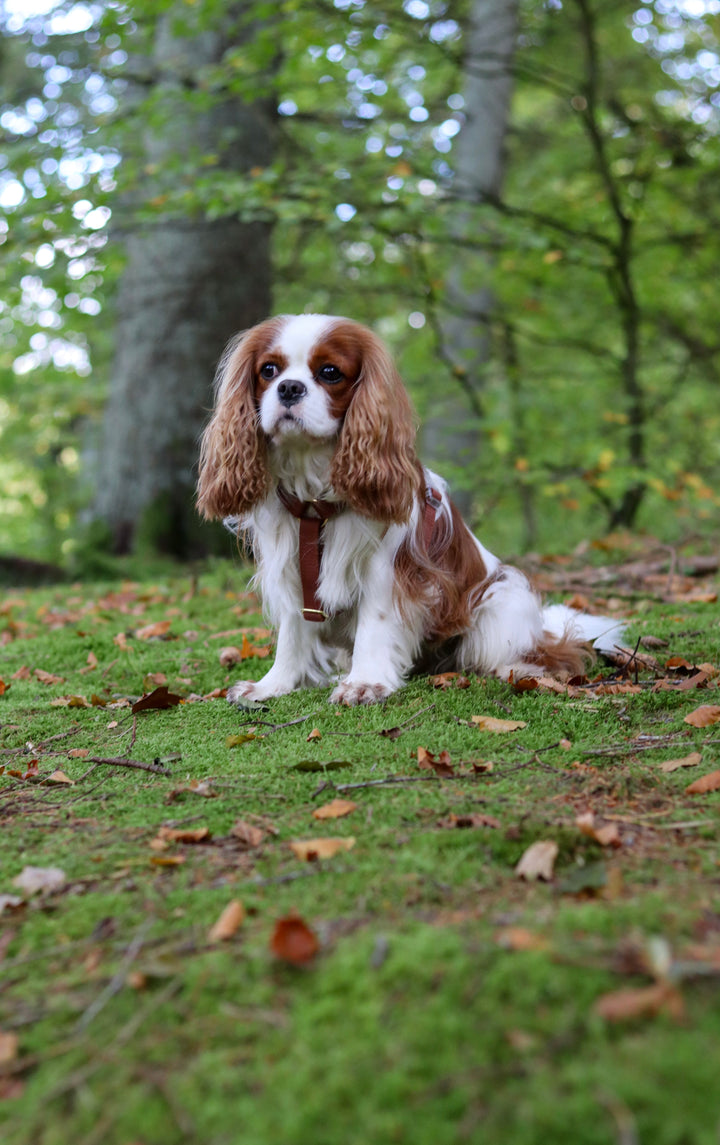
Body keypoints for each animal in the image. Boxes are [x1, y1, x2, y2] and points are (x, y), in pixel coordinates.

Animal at [198, 316, 622, 705]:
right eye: (268, 370)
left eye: (330, 373)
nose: (288, 388)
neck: (315, 500)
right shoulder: (289, 568)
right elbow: (293, 632)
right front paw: (273, 685)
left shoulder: (385, 570)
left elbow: (375, 623)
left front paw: (365, 683)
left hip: (501, 601)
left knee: (541, 655)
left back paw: (516, 669)